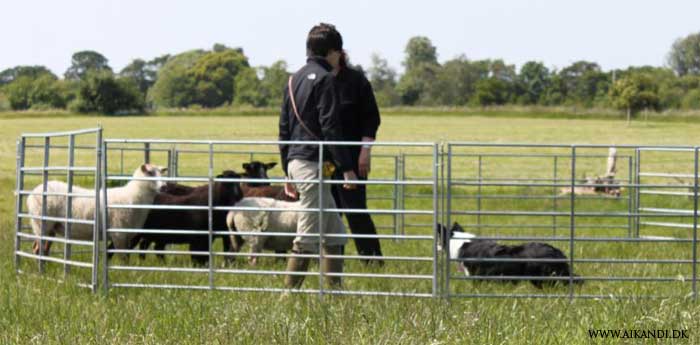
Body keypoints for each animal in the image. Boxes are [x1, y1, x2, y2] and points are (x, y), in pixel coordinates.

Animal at [26, 163, 165, 254]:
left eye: (161, 173)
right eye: (150, 173)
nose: (164, 186)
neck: (133, 195)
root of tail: (32, 193)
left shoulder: (127, 235)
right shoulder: (118, 233)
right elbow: (123, 258)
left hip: (52, 227)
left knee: (42, 248)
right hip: (41, 224)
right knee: (38, 248)